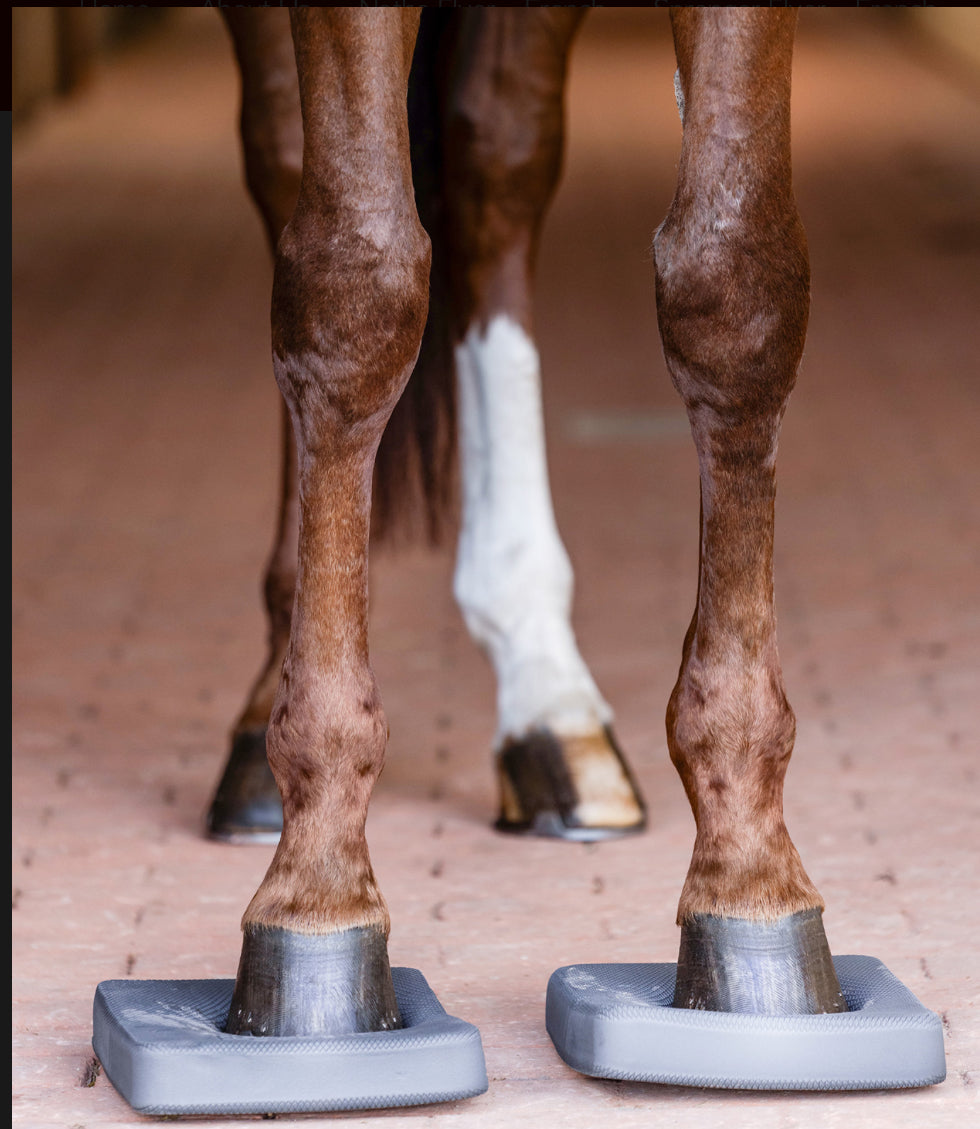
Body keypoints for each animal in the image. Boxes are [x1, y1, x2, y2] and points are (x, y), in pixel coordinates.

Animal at [208, 6, 847, 1038]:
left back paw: (549, 700)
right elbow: (355, 281)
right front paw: (318, 885)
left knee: (494, 170)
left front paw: (748, 867)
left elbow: (734, 283)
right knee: (285, 164)